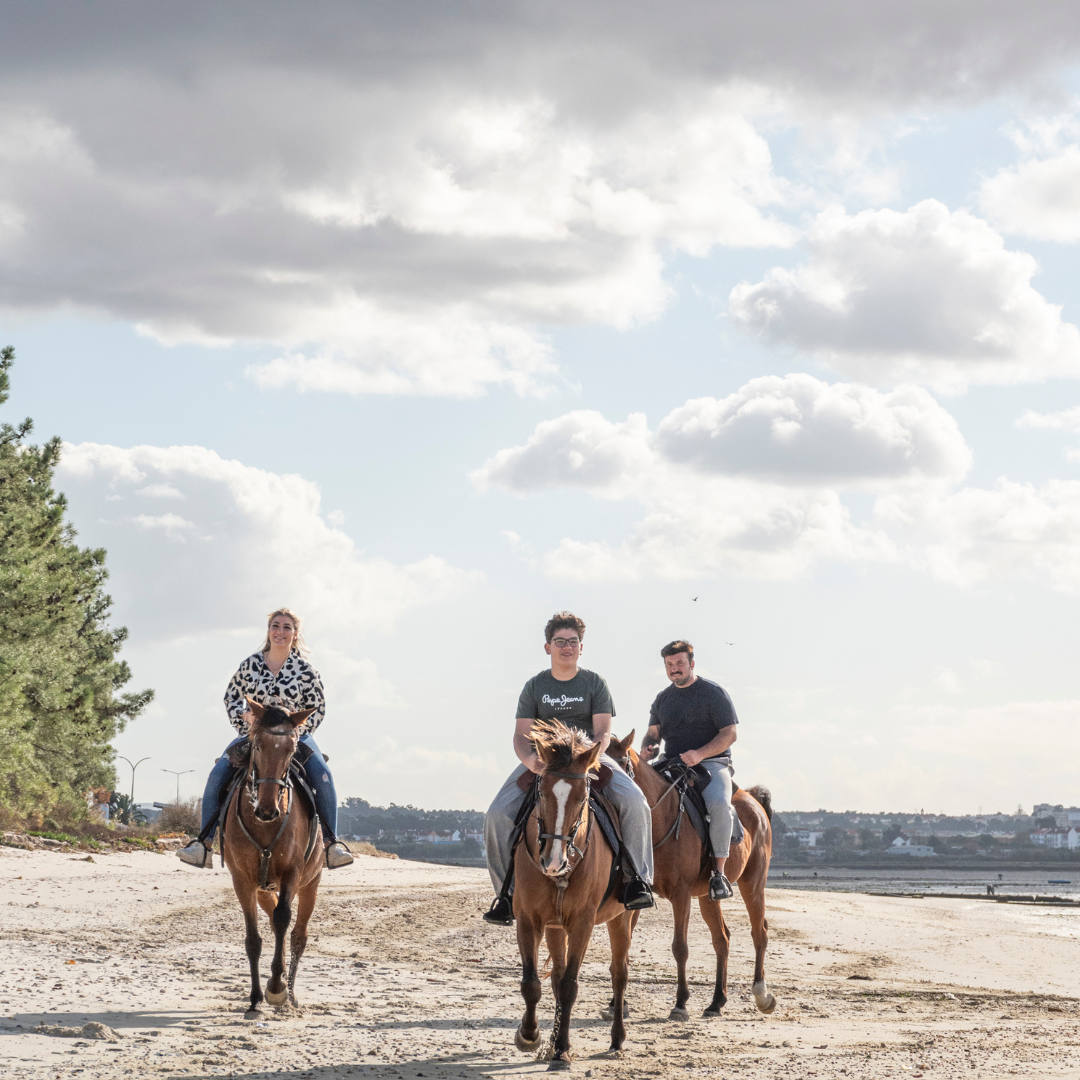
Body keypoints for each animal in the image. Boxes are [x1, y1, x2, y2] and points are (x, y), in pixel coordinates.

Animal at [222, 699, 324, 1019]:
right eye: (257, 745)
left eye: (292, 749)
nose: (267, 809)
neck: (265, 824)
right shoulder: (242, 880)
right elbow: (253, 939)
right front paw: (255, 999)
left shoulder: (293, 874)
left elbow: (282, 920)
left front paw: (277, 989)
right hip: (262, 888)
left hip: (311, 884)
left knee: (297, 936)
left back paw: (290, 994)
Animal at [511, 721, 635, 1067]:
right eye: (541, 791)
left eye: (583, 797)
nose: (553, 862)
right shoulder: (528, 920)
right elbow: (533, 983)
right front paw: (530, 1036)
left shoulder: (582, 922)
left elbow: (569, 985)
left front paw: (562, 1049)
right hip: (555, 926)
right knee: (554, 975)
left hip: (622, 918)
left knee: (619, 974)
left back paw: (617, 1039)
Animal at [609, 738, 777, 1023]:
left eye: (618, 767)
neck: (660, 819)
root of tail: (753, 798)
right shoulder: (638, 895)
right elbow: (625, 942)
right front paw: (616, 1004)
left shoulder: (681, 895)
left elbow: (680, 947)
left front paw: (680, 1003)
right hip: (708, 897)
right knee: (722, 939)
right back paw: (716, 1002)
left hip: (753, 884)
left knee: (759, 932)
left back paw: (761, 994)